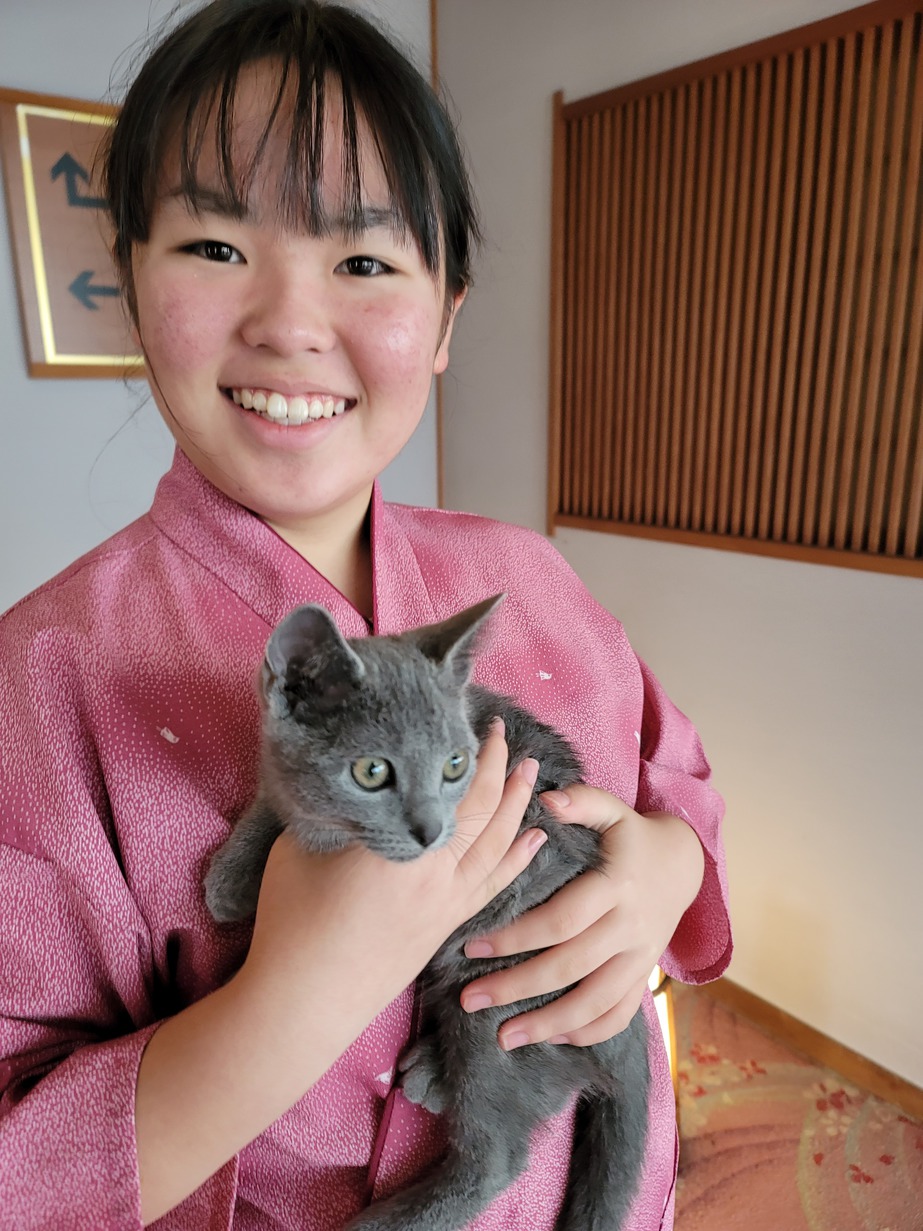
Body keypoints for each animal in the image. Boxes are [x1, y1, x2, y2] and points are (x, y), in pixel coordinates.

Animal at [204, 590, 649, 1226]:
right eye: (372, 771)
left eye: (455, 766)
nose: (431, 829)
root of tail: (625, 1028)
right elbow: (276, 805)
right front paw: (233, 875)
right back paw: (429, 1076)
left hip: (500, 1009)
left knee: (496, 1159)